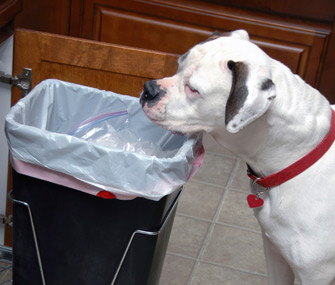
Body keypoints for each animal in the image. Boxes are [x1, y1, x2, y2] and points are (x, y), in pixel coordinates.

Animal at [140, 30, 335, 282]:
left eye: (193, 89)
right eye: (178, 65)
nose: (149, 89)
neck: (300, 155)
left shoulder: (315, 275)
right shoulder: (275, 253)